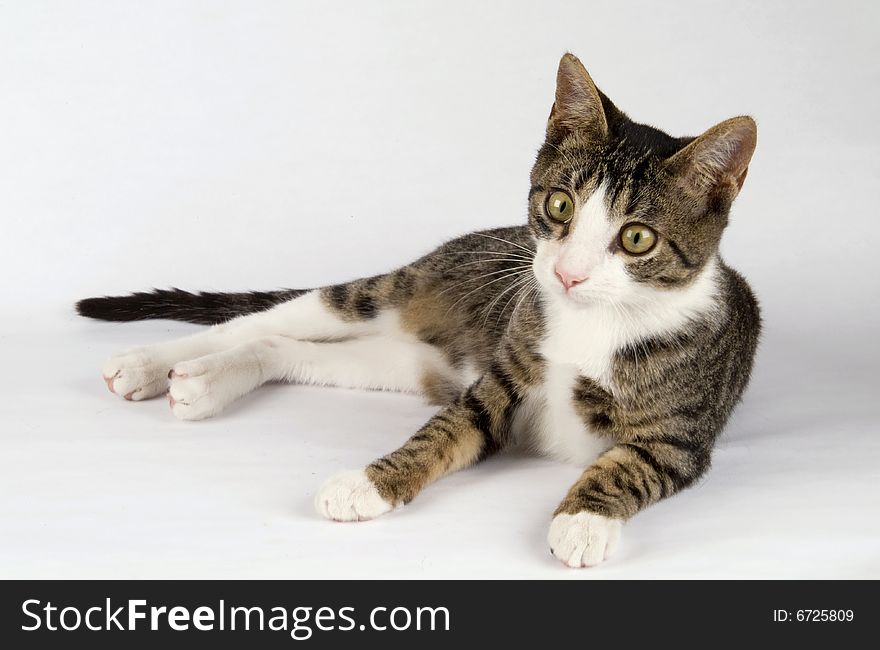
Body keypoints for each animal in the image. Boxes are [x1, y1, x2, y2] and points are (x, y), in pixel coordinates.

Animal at [79, 53, 760, 564]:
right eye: (560, 205)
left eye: (637, 238)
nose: (567, 273)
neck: (591, 325)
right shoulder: (500, 380)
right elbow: (447, 431)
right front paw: (366, 483)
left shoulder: (681, 436)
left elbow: (627, 467)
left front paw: (582, 522)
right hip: (397, 291)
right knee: (272, 319)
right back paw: (148, 365)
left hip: (408, 364)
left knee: (283, 348)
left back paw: (202, 383)